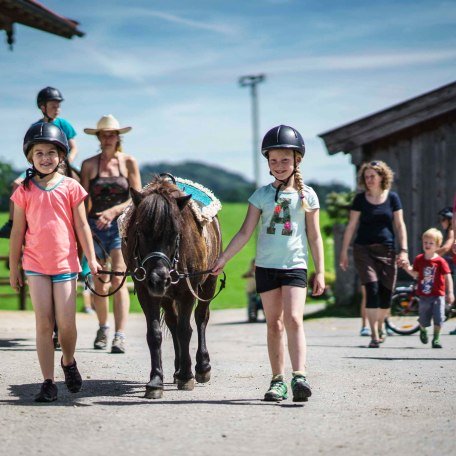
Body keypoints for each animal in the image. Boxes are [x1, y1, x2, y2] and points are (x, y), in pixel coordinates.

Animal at [121, 176, 221, 398]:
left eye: (175, 233)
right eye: (140, 231)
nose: (158, 279)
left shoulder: (187, 292)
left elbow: (186, 330)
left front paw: (186, 375)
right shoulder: (146, 292)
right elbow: (155, 334)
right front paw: (156, 380)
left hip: (208, 282)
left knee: (201, 318)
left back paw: (202, 367)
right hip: (166, 297)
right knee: (173, 322)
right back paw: (177, 368)